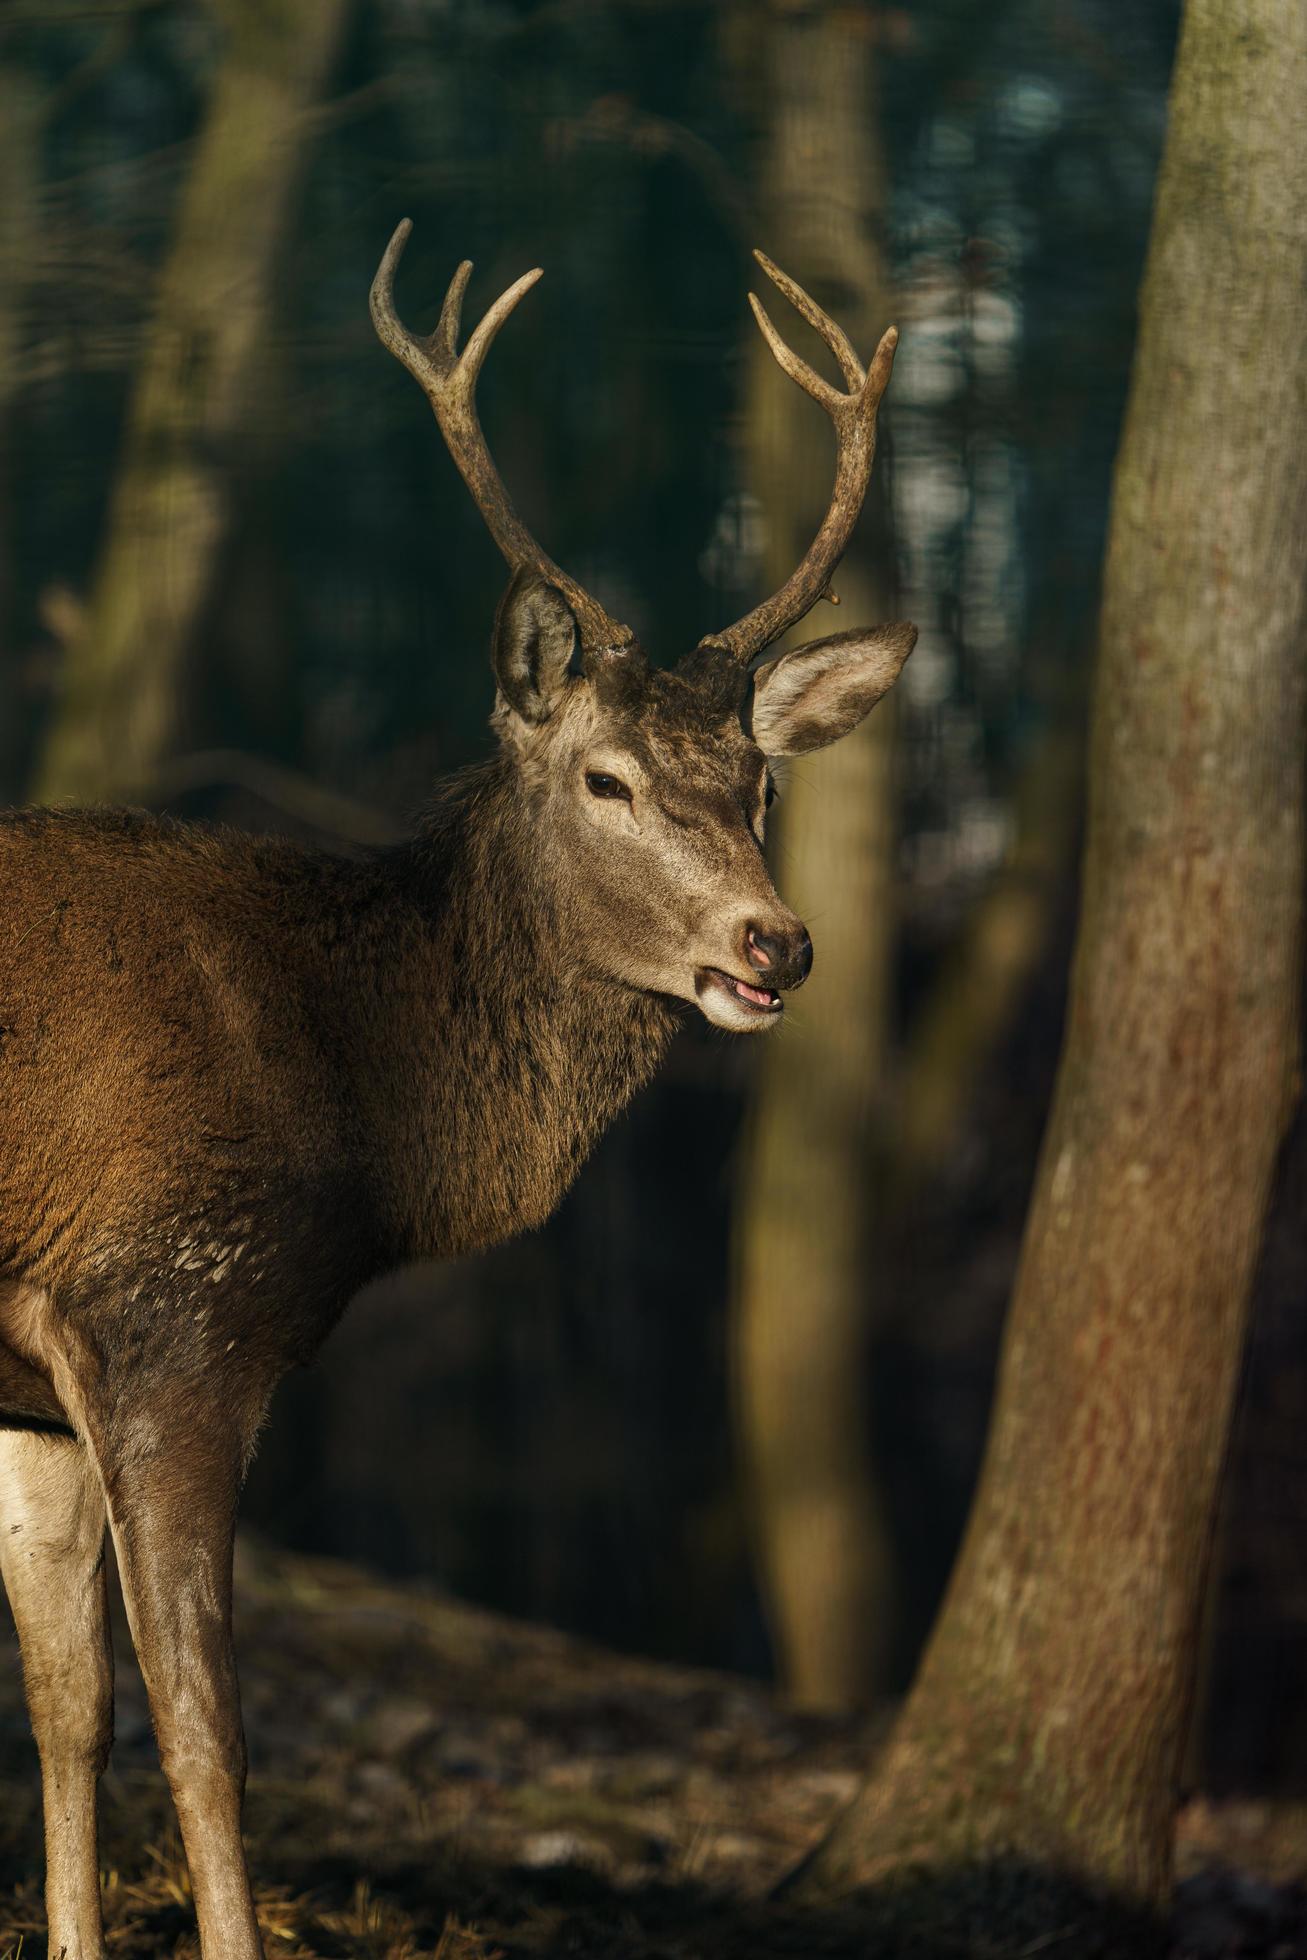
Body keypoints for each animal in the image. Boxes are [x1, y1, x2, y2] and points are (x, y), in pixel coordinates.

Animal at [0, 222, 917, 1952]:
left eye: (760, 782)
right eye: (604, 778)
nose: (774, 943)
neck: (367, 1107)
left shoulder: (34, 1384)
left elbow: (67, 1705)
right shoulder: (168, 1306)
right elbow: (205, 1727)